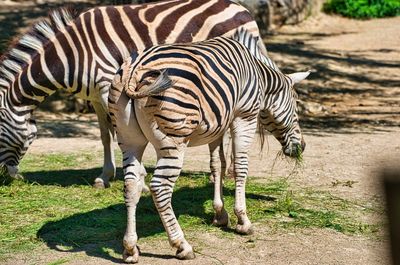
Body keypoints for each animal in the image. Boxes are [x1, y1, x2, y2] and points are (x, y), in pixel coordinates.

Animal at [0, 0, 278, 188]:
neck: (71, 56)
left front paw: (139, 178)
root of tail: (242, 9)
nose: (8, 178)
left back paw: (223, 172)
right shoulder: (96, 97)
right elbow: (105, 135)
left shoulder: (106, 86)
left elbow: (120, 133)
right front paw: (105, 176)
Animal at [108, 27, 308, 260]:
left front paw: (220, 214)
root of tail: (136, 69)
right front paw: (243, 220)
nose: (302, 147)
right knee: (160, 188)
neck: (259, 76)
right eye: (296, 105)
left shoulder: (217, 127)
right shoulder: (244, 117)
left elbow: (217, 165)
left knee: (131, 185)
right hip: (173, 141)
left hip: (129, 140)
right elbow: (240, 167)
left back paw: (130, 248)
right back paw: (181, 245)